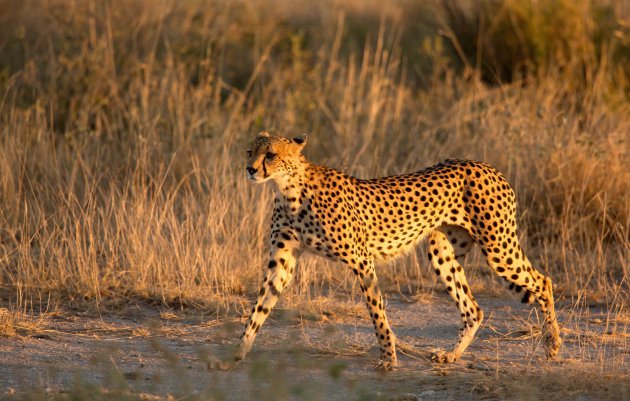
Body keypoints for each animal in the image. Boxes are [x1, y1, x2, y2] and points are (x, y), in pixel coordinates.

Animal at [237, 131, 564, 368]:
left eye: (271, 154)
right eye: (250, 151)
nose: (250, 170)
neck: (288, 189)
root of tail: (487, 166)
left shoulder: (362, 260)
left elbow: (377, 311)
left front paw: (388, 358)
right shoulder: (281, 262)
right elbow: (260, 307)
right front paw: (238, 351)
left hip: (498, 247)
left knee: (543, 281)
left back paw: (553, 345)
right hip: (441, 252)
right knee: (473, 308)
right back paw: (452, 356)